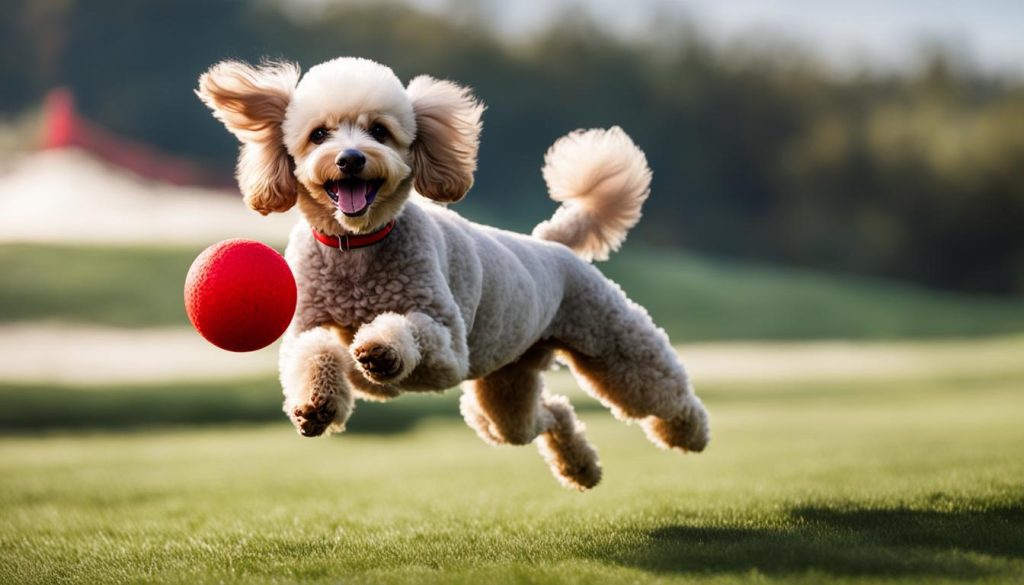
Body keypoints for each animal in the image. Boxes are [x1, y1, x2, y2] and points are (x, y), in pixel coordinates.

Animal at [195, 56, 708, 489]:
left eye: (379, 132)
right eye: (319, 134)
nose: (351, 159)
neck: (356, 248)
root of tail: (553, 244)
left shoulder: (446, 349)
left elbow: (409, 332)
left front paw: (379, 349)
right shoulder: (308, 326)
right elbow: (314, 351)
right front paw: (315, 407)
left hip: (611, 343)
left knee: (660, 388)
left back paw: (691, 432)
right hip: (506, 386)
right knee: (547, 414)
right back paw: (580, 468)